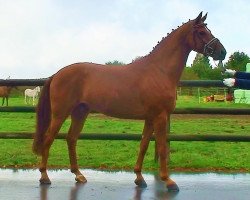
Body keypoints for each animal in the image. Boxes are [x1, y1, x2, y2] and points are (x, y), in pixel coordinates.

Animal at [32, 12, 226, 191]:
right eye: (201, 32)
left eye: (208, 30)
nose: (222, 52)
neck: (159, 71)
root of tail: (57, 74)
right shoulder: (160, 117)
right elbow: (162, 148)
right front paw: (168, 181)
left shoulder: (150, 118)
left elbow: (143, 145)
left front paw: (139, 178)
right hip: (60, 114)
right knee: (48, 138)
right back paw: (44, 176)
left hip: (80, 112)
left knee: (71, 139)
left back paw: (78, 175)